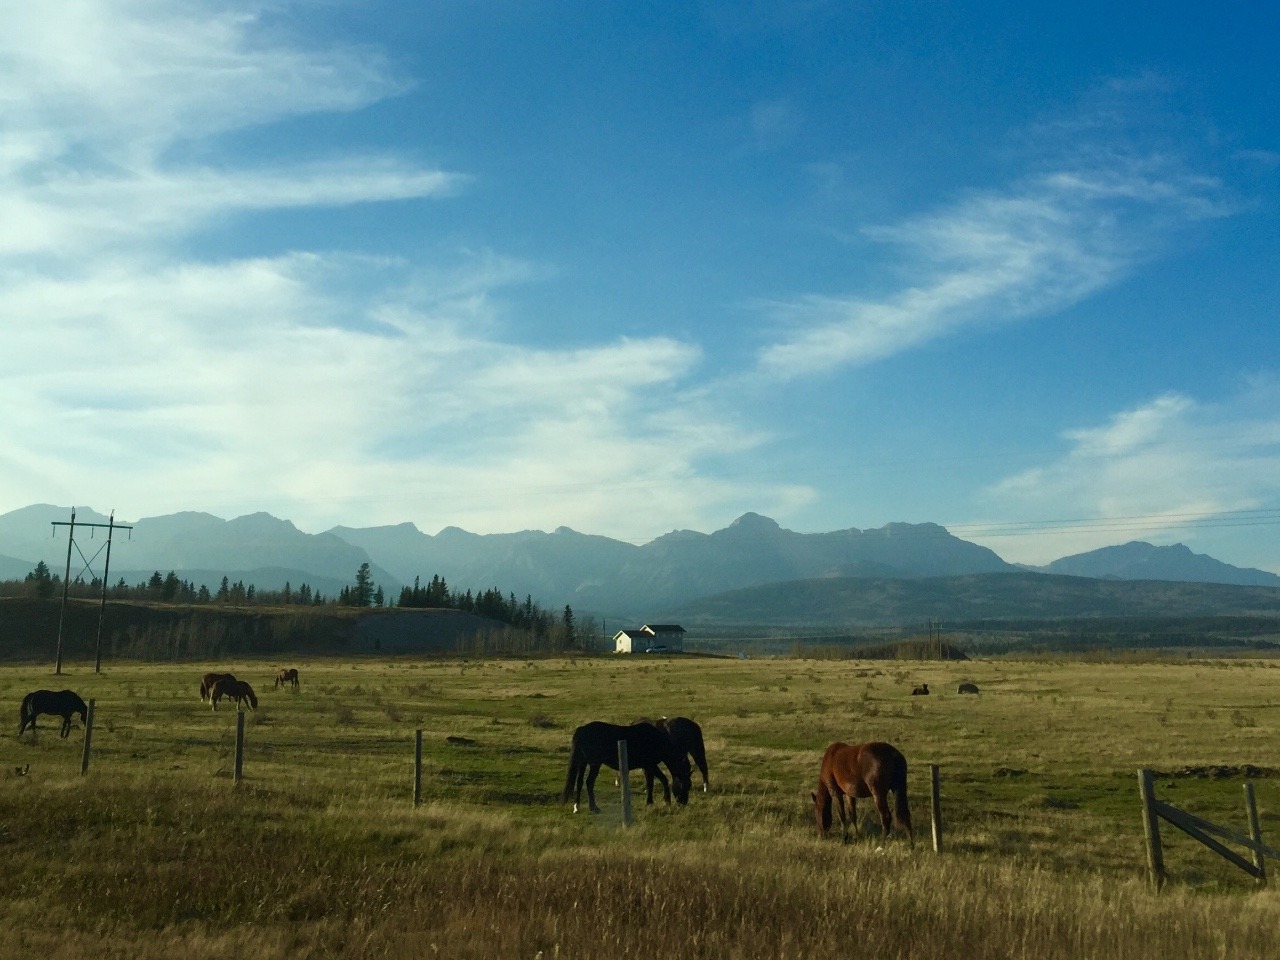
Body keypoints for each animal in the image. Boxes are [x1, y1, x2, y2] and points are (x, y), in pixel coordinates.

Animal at [565, 727, 696, 814]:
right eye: (683, 786)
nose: (683, 803)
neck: (655, 740)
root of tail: (582, 730)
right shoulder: (650, 764)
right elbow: (663, 779)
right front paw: (667, 800)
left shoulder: (647, 766)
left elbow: (650, 783)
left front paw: (649, 802)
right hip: (594, 764)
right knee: (589, 782)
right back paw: (594, 807)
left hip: (583, 762)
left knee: (580, 783)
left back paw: (577, 806)